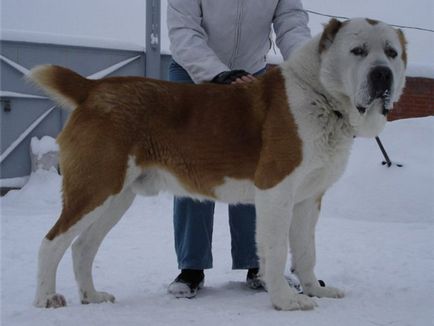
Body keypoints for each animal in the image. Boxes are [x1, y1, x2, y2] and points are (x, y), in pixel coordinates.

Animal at [28, 18, 406, 310]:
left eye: (391, 53)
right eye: (357, 51)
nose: (382, 75)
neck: (322, 98)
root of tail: (93, 88)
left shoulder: (307, 199)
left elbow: (305, 251)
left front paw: (314, 290)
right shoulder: (276, 192)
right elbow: (277, 250)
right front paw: (285, 301)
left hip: (117, 197)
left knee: (82, 247)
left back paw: (91, 296)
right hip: (95, 188)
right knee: (51, 242)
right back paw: (46, 298)